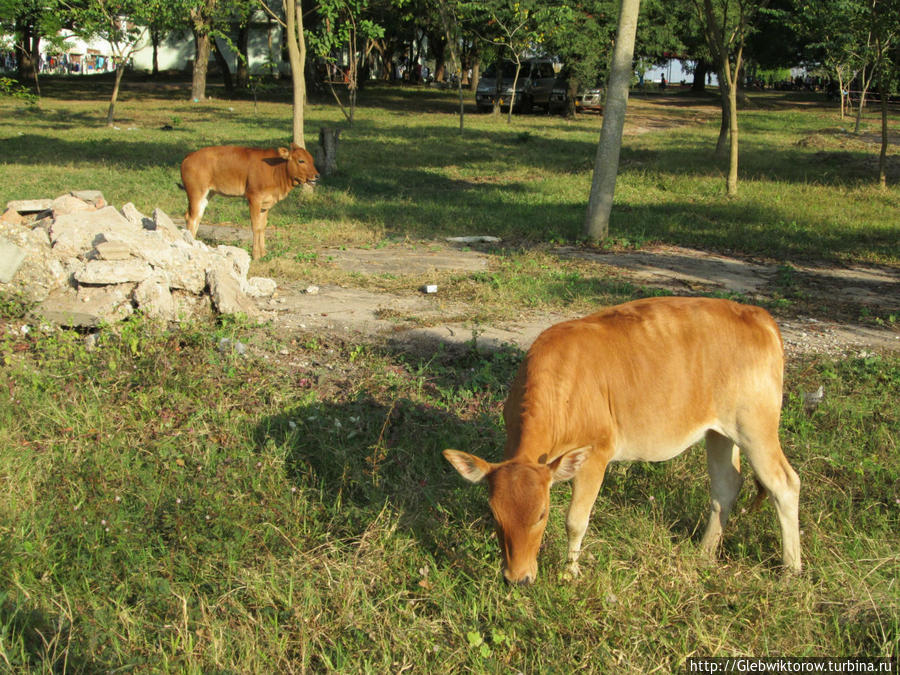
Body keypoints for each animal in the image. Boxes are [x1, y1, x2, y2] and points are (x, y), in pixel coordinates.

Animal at [180, 144, 320, 260]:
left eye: (312, 160)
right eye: (301, 160)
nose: (317, 175)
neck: (276, 170)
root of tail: (188, 157)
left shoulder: (265, 204)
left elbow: (262, 226)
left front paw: (263, 253)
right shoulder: (254, 198)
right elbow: (256, 226)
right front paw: (256, 255)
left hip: (207, 193)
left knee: (196, 217)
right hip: (196, 192)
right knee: (191, 217)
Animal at [442, 298, 800, 584]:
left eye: (542, 514)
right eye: (494, 514)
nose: (517, 578)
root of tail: (758, 315)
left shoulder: (595, 455)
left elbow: (575, 521)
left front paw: (570, 573)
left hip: (756, 425)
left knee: (784, 483)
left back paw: (790, 571)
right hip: (720, 431)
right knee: (726, 485)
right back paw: (703, 553)